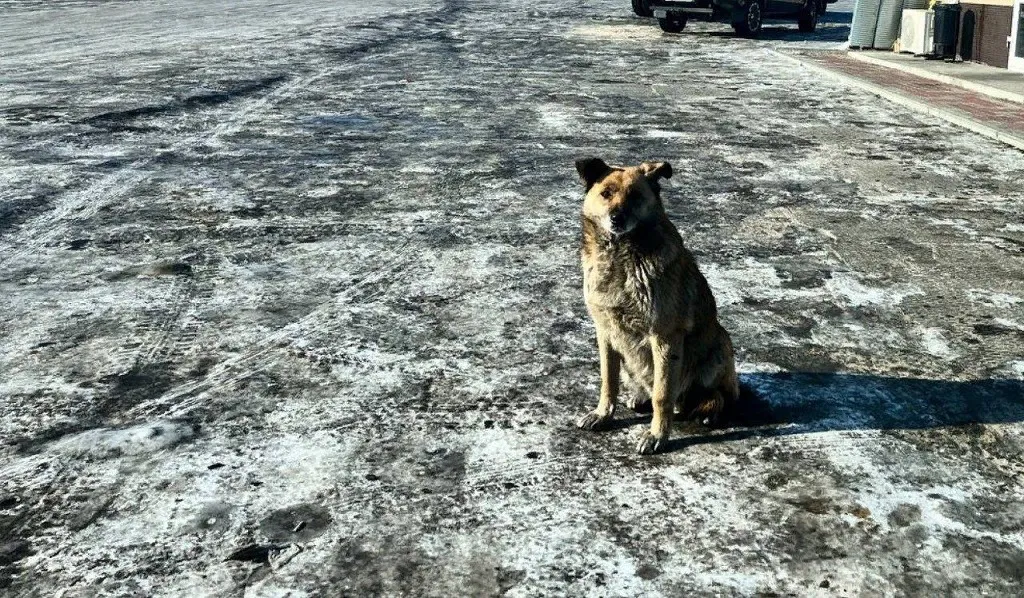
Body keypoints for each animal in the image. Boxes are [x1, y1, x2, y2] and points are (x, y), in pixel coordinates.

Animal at [573, 157, 741, 452]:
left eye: (636, 196)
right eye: (606, 193)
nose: (617, 218)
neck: (621, 255)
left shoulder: (664, 337)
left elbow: (663, 395)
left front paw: (656, 435)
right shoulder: (605, 332)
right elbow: (608, 380)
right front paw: (603, 414)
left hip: (720, 344)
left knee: (721, 395)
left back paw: (709, 411)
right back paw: (640, 397)